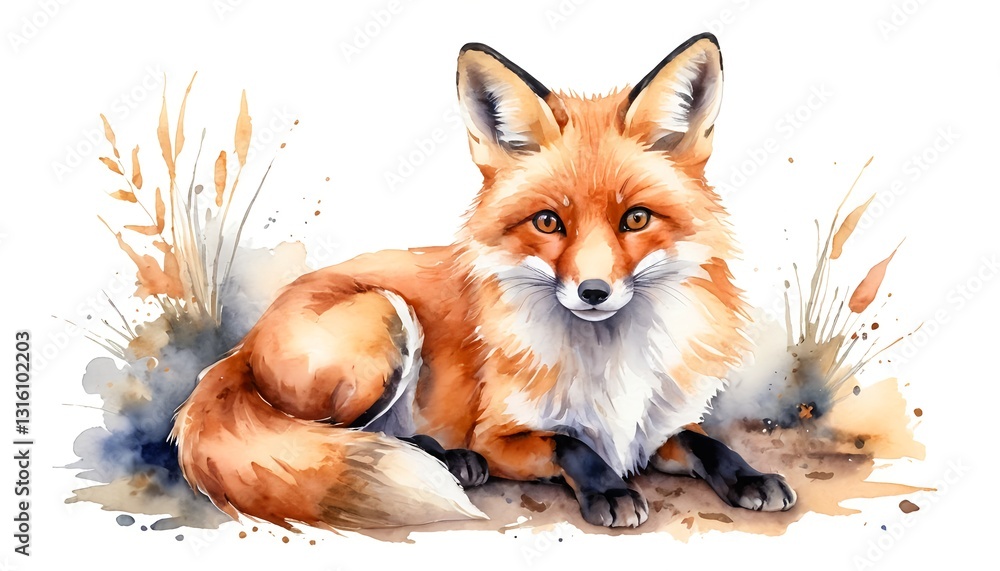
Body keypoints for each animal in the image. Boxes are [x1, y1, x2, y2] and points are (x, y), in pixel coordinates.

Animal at [170, 32, 796, 531]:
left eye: (636, 218)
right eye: (548, 222)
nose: (593, 292)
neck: (610, 366)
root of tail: (242, 346)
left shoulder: (654, 430)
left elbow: (704, 441)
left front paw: (749, 478)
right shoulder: (501, 436)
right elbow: (572, 443)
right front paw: (610, 491)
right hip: (385, 319)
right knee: (332, 435)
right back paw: (449, 461)